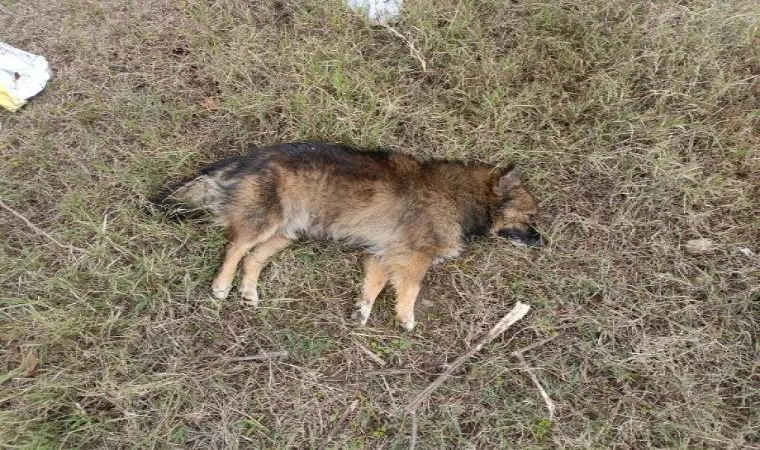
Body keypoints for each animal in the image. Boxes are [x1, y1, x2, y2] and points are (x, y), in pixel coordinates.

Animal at [154, 142, 544, 328]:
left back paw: (249, 292)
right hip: (265, 221)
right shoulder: (414, 257)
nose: (543, 240)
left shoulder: (383, 253)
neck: (466, 197)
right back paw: (222, 285)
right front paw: (406, 317)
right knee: (236, 247)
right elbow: (411, 289)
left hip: (287, 233)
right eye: (531, 216)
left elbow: (373, 286)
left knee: (253, 258)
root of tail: (250, 157)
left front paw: (363, 311)